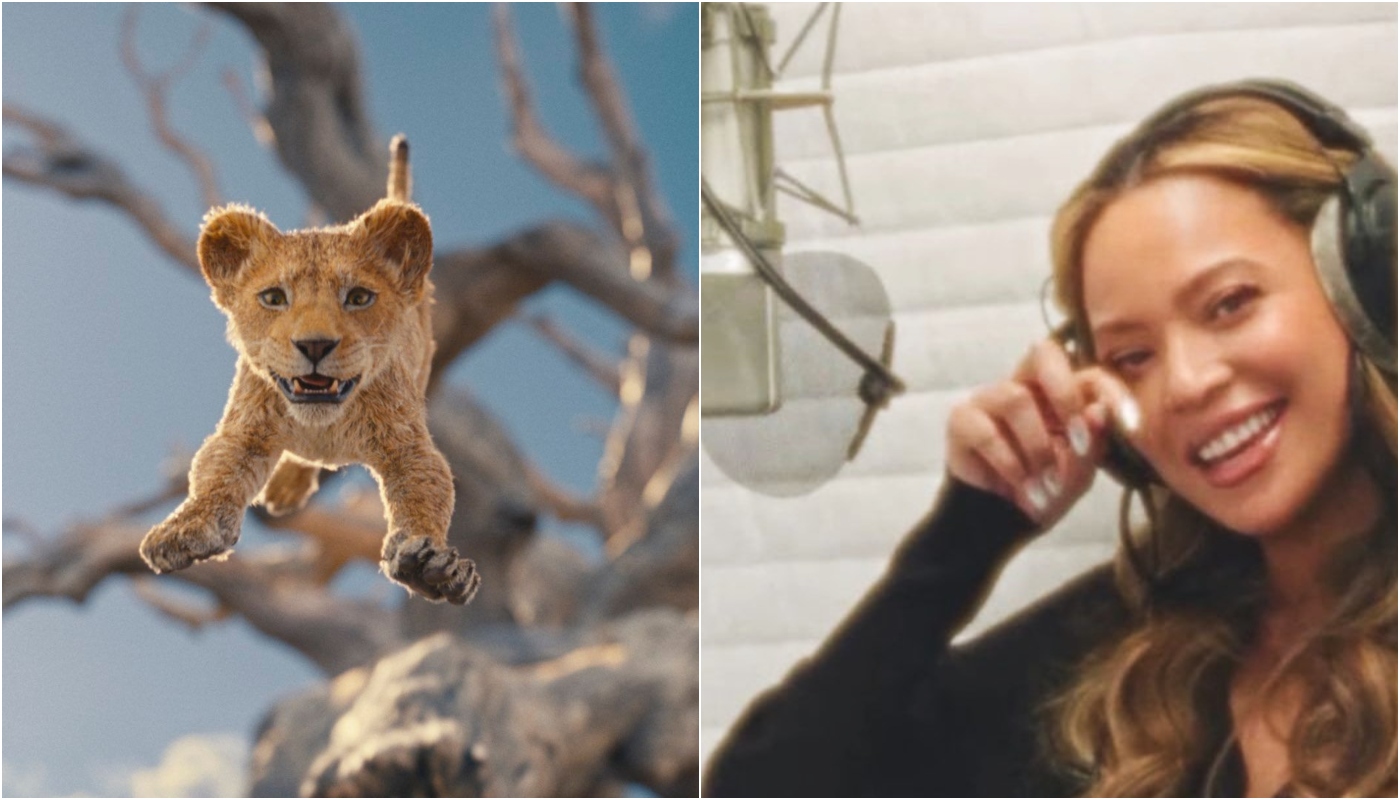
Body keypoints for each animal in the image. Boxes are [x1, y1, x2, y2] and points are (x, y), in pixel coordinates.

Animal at [139, 137, 478, 605]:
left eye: (358, 297)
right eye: (273, 298)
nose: (315, 345)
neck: (322, 424)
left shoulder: (407, 444)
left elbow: (426, 491)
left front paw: (429, 565)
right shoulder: (244, 430)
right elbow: (214, 474)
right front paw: (184, 528)